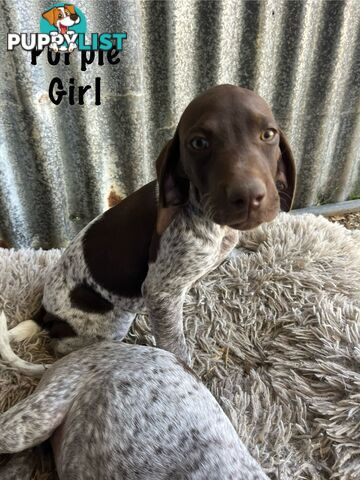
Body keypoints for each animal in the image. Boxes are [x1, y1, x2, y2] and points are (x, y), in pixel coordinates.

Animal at [2, 83, 296, 376]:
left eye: (268, 134)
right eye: (199, 143)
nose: (248, 197)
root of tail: (44, 310)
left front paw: (241, 254)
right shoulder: (161, 293)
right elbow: (176, 348)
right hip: (113, 322)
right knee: (62, 346)